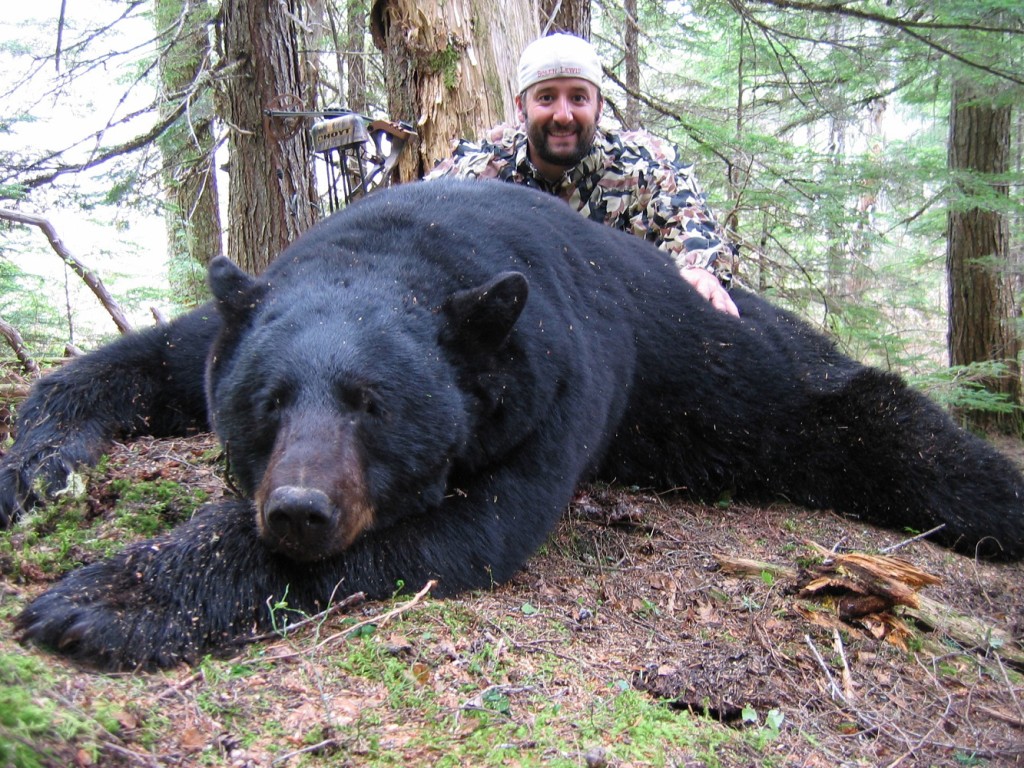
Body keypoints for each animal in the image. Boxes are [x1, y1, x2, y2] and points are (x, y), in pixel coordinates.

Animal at [2, 179, 1024, 667]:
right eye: (269, 401)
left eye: (374, 404)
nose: (298, 509)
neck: (413, 245)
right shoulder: (240, 319)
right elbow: (136, 362)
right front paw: (37, 466)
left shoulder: (560, 382)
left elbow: (479, 524)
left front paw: (109, 598)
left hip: (806, 397)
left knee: (916, 441)